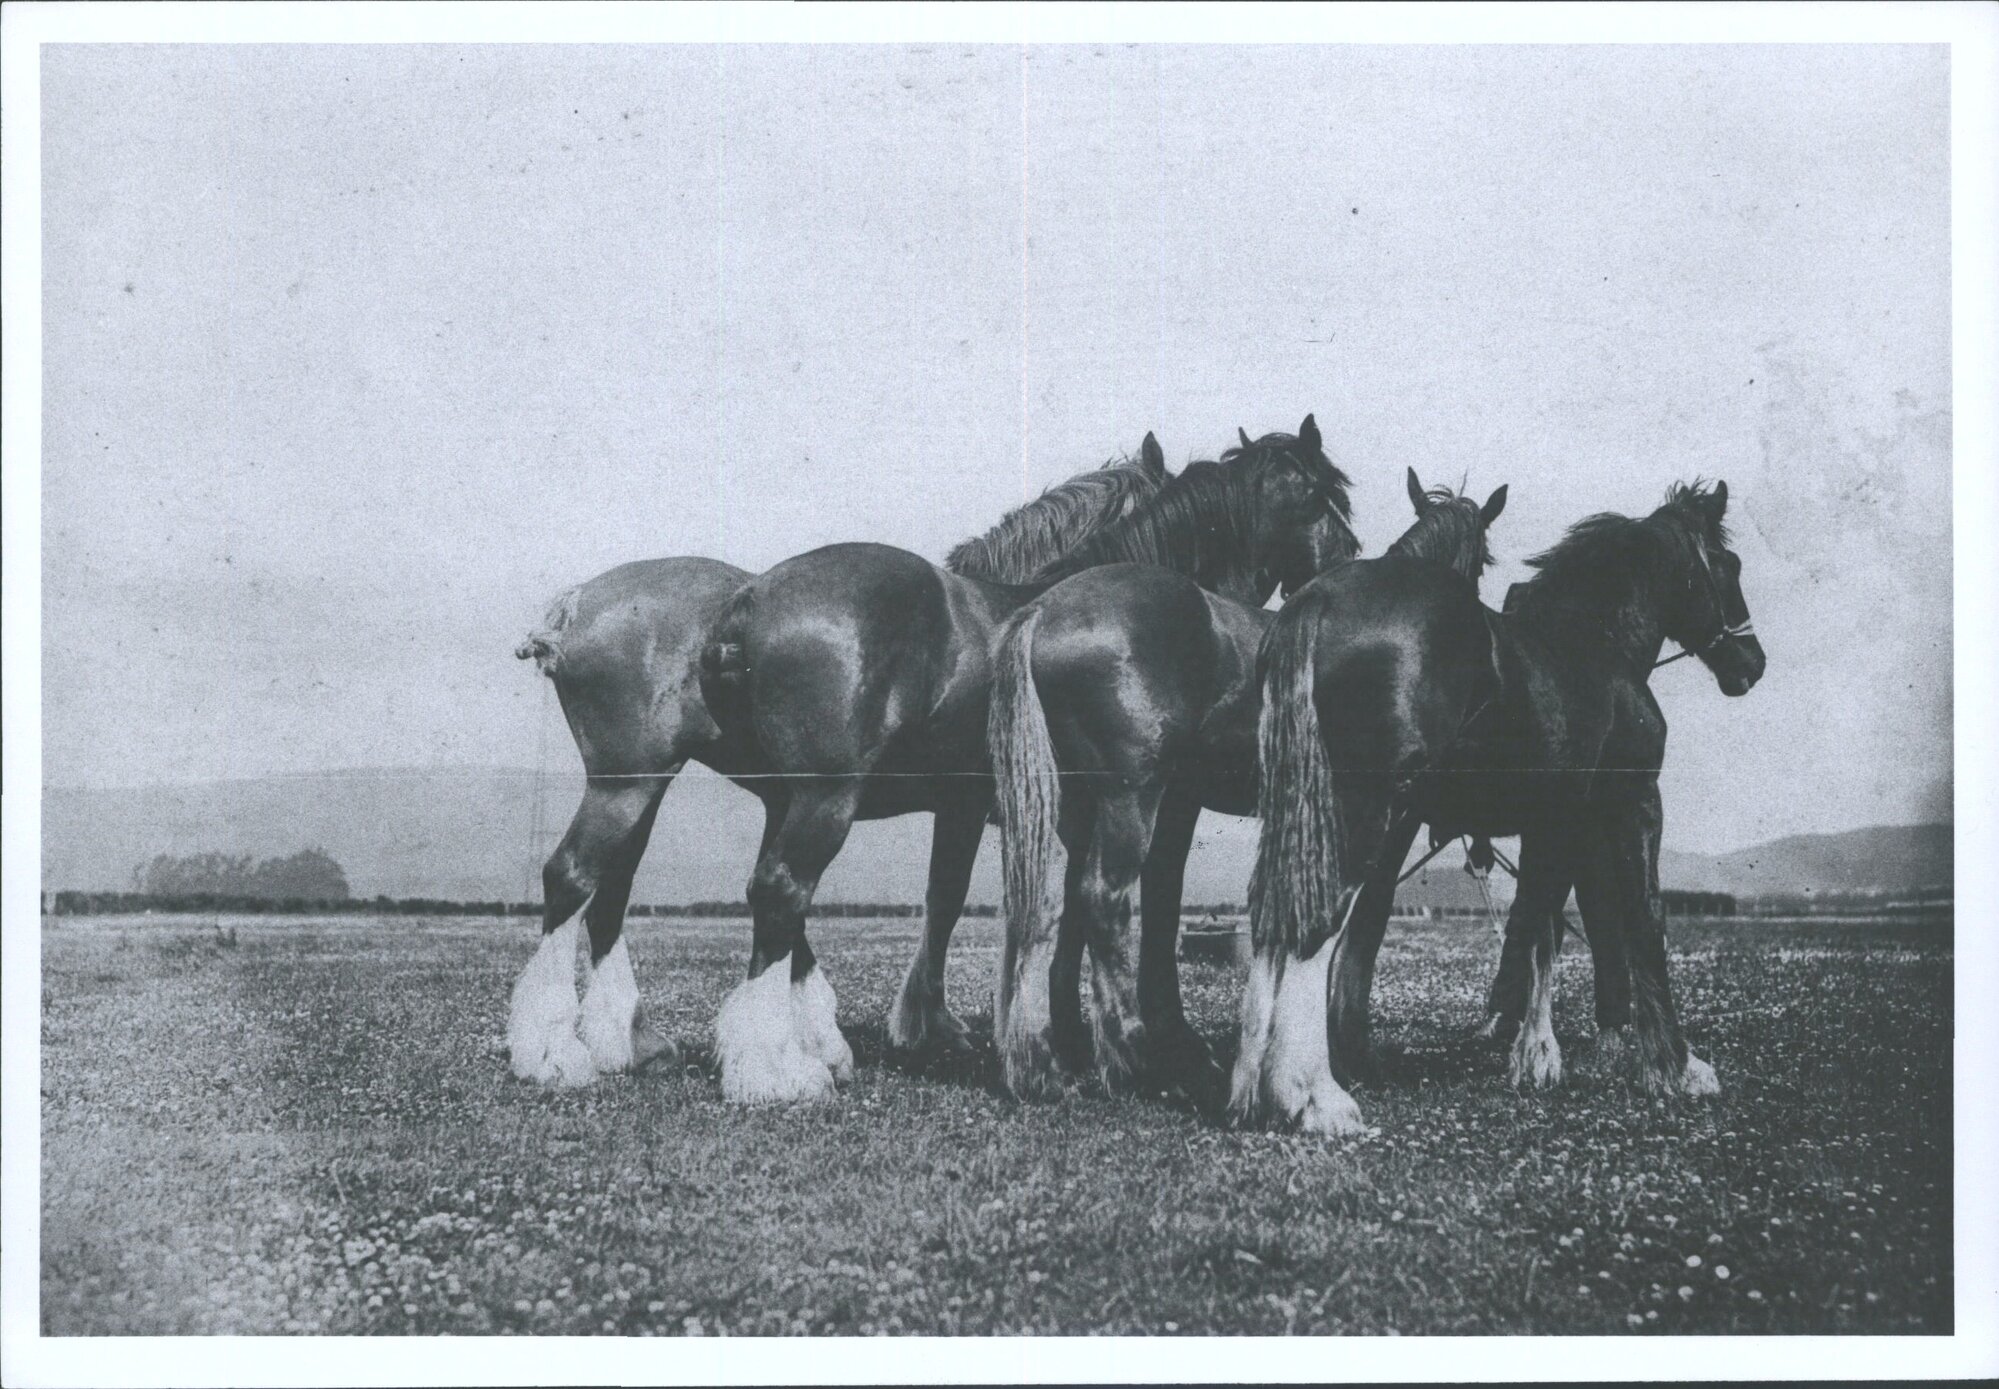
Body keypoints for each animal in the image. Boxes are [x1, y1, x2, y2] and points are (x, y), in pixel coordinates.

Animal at [506, 439, 1168, 1088]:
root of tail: (575, 605)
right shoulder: (985, 804)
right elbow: (964, 899)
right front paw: (943, 1029)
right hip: (657, 787)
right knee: (578, 877)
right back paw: (564, 1052)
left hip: (645, 786)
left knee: (617, 892)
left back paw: (634, 1042)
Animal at [696, 416, 1356, 1104]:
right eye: (1321, 495)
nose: (1347, 560)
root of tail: (748, 604)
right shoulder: (1155, 803)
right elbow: (1136, 902)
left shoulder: (994, 809)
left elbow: (968, 899)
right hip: (826, 796)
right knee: (782, 890)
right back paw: (773, 1068)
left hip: (787, 799)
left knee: (777, 900)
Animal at [989, 470, 1506, 1104]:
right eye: (1483, 559)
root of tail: (1043, 610)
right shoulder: (1392, 813)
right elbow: (1365, 920)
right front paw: (1349, 1049)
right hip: (1129, 796)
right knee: (1102, 900)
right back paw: (1133, 1060)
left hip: (1073, 805)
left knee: (1046, 906)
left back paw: (1046, 1060)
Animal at [1236, 481, 1763, 1135]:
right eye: (1728, 564)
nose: (1752, 664)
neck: (1596, 647)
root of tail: (1319, 598)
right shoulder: (1632, 801)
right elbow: (1643, 919)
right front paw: (1677, 1066)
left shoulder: (1555, 821)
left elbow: (1541, 926)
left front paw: (1537, 1056)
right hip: (1357, 810)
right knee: (1318, 920)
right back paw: (1312, 1097)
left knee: (1277, 917)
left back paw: (1257, 1087)